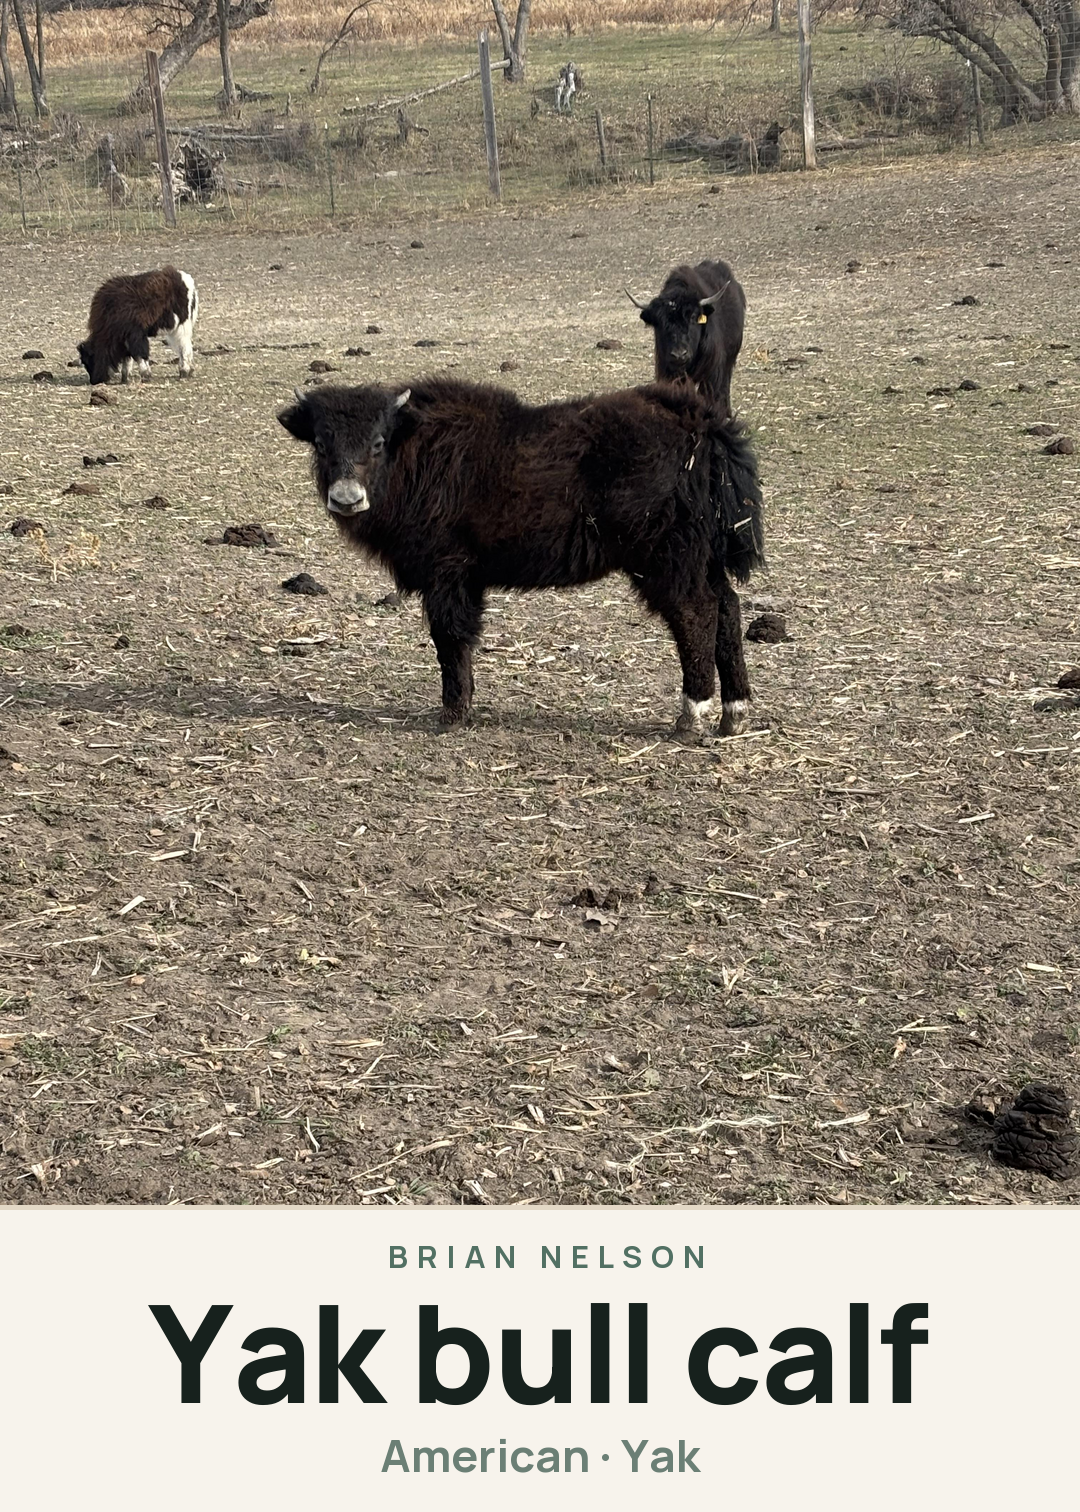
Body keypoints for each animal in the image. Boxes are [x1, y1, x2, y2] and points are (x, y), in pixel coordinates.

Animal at [278, 377, 764, 736]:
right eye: (320, 443)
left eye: (378, 442)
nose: (346, 498)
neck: (412, 450)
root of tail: (699, 422)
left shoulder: (447, 574)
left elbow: (449, 638)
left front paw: (452, 715)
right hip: (703, 559)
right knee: (727, 608)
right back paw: (734, 714)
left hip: (667, 561)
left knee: (696, 615)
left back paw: (690, 717)